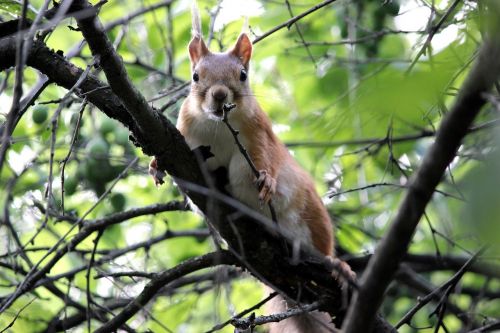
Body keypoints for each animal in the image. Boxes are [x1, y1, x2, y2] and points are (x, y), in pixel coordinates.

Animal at [149, 3, 356, 330]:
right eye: (195, 76)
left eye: (243, 75)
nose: (220, 95)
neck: (219, 126)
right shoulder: (186, 133)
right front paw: (156, 162)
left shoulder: (259, 133)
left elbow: (263, 159)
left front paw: (267, 181)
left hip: (312, 216)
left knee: (322, 247)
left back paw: (337, 265)